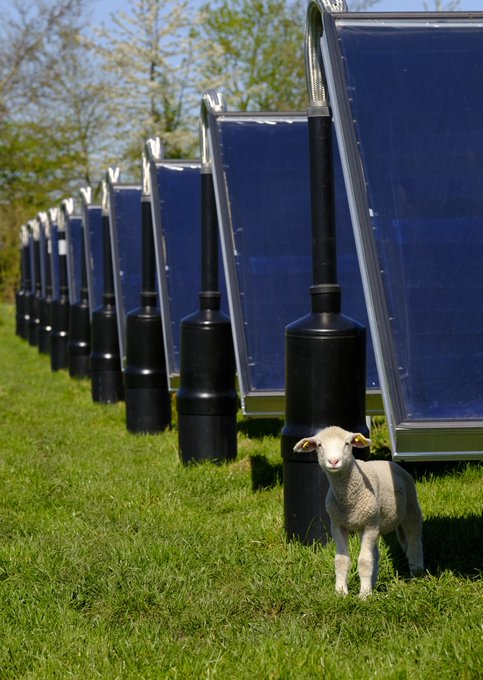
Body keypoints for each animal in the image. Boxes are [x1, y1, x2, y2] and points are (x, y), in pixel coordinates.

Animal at [294, 428, 424, 596]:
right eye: (319, 445)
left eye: (347, 443)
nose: (333, 461)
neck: (348, 502)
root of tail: (391, 463)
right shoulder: (338, 525)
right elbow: (342, 560)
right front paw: (341, 592)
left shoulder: (369, 526)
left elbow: (364, 561)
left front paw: (364, 595)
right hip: (374, 525)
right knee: (375, 554)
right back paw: (373, 583)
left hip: (410, 510)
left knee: (414, 542)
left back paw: (417, 572)